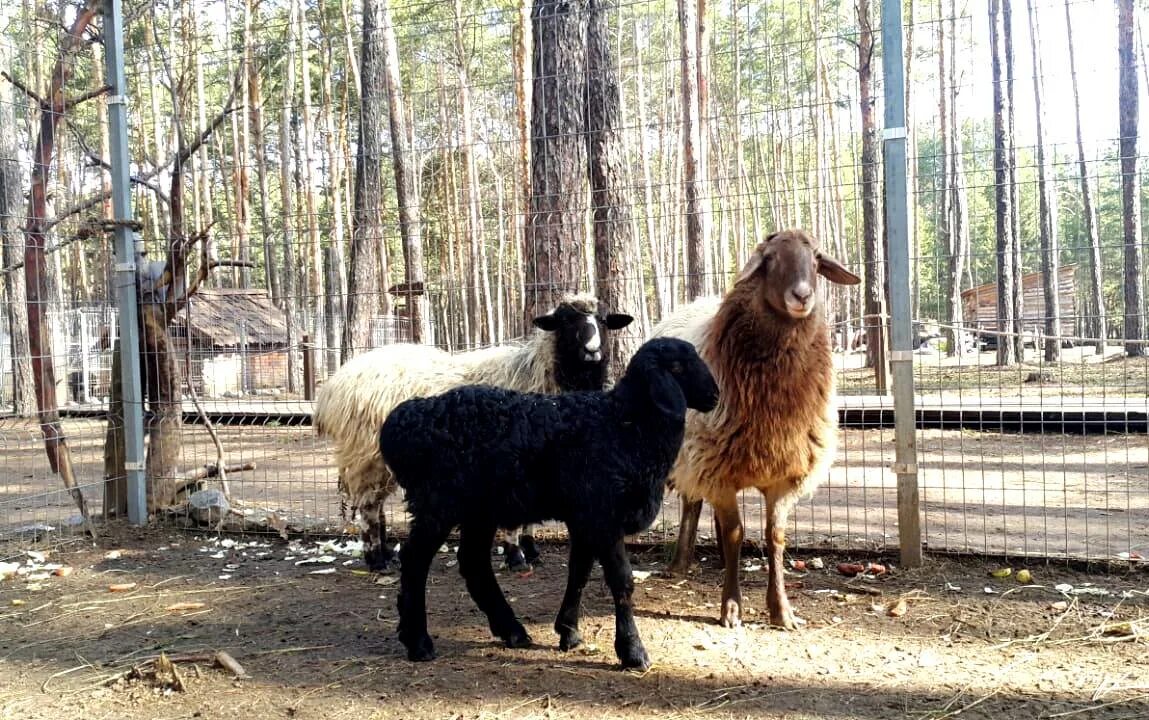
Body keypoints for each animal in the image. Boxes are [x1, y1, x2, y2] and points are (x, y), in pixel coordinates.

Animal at [379, 337, 716, 670]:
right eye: (676, 366)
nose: (715, 395)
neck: (625, 425)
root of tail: (403, 422)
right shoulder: (603, 514)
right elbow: (622, 581)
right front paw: (632, 651)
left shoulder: (584, 517)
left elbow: (578, 573)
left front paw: (569, 632)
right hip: (438, 502)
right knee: (415, 560)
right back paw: (418, 641)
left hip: (479, 509)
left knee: (473, 561)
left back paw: (512, 631)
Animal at [652, 228, 859, 629]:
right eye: (770, 259)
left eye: (817, 260)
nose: (802, 296)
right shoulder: (716, 470)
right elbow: (736, 533)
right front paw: (731, 607)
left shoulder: (786, 475)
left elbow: (774, 536)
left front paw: (782, 610)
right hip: (689, 454)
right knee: (691, 502)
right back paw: (680, 563)